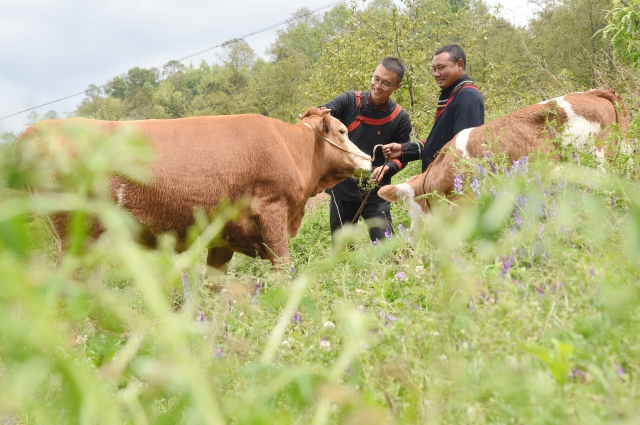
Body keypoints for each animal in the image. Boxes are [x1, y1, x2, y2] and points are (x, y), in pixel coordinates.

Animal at [17, 107, 370, 270]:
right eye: (342, 131)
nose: (368, 159)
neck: (290, 147)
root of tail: (35, 131)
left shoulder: (225, 237)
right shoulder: (273, 212)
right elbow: (284, 269)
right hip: (77, 238)